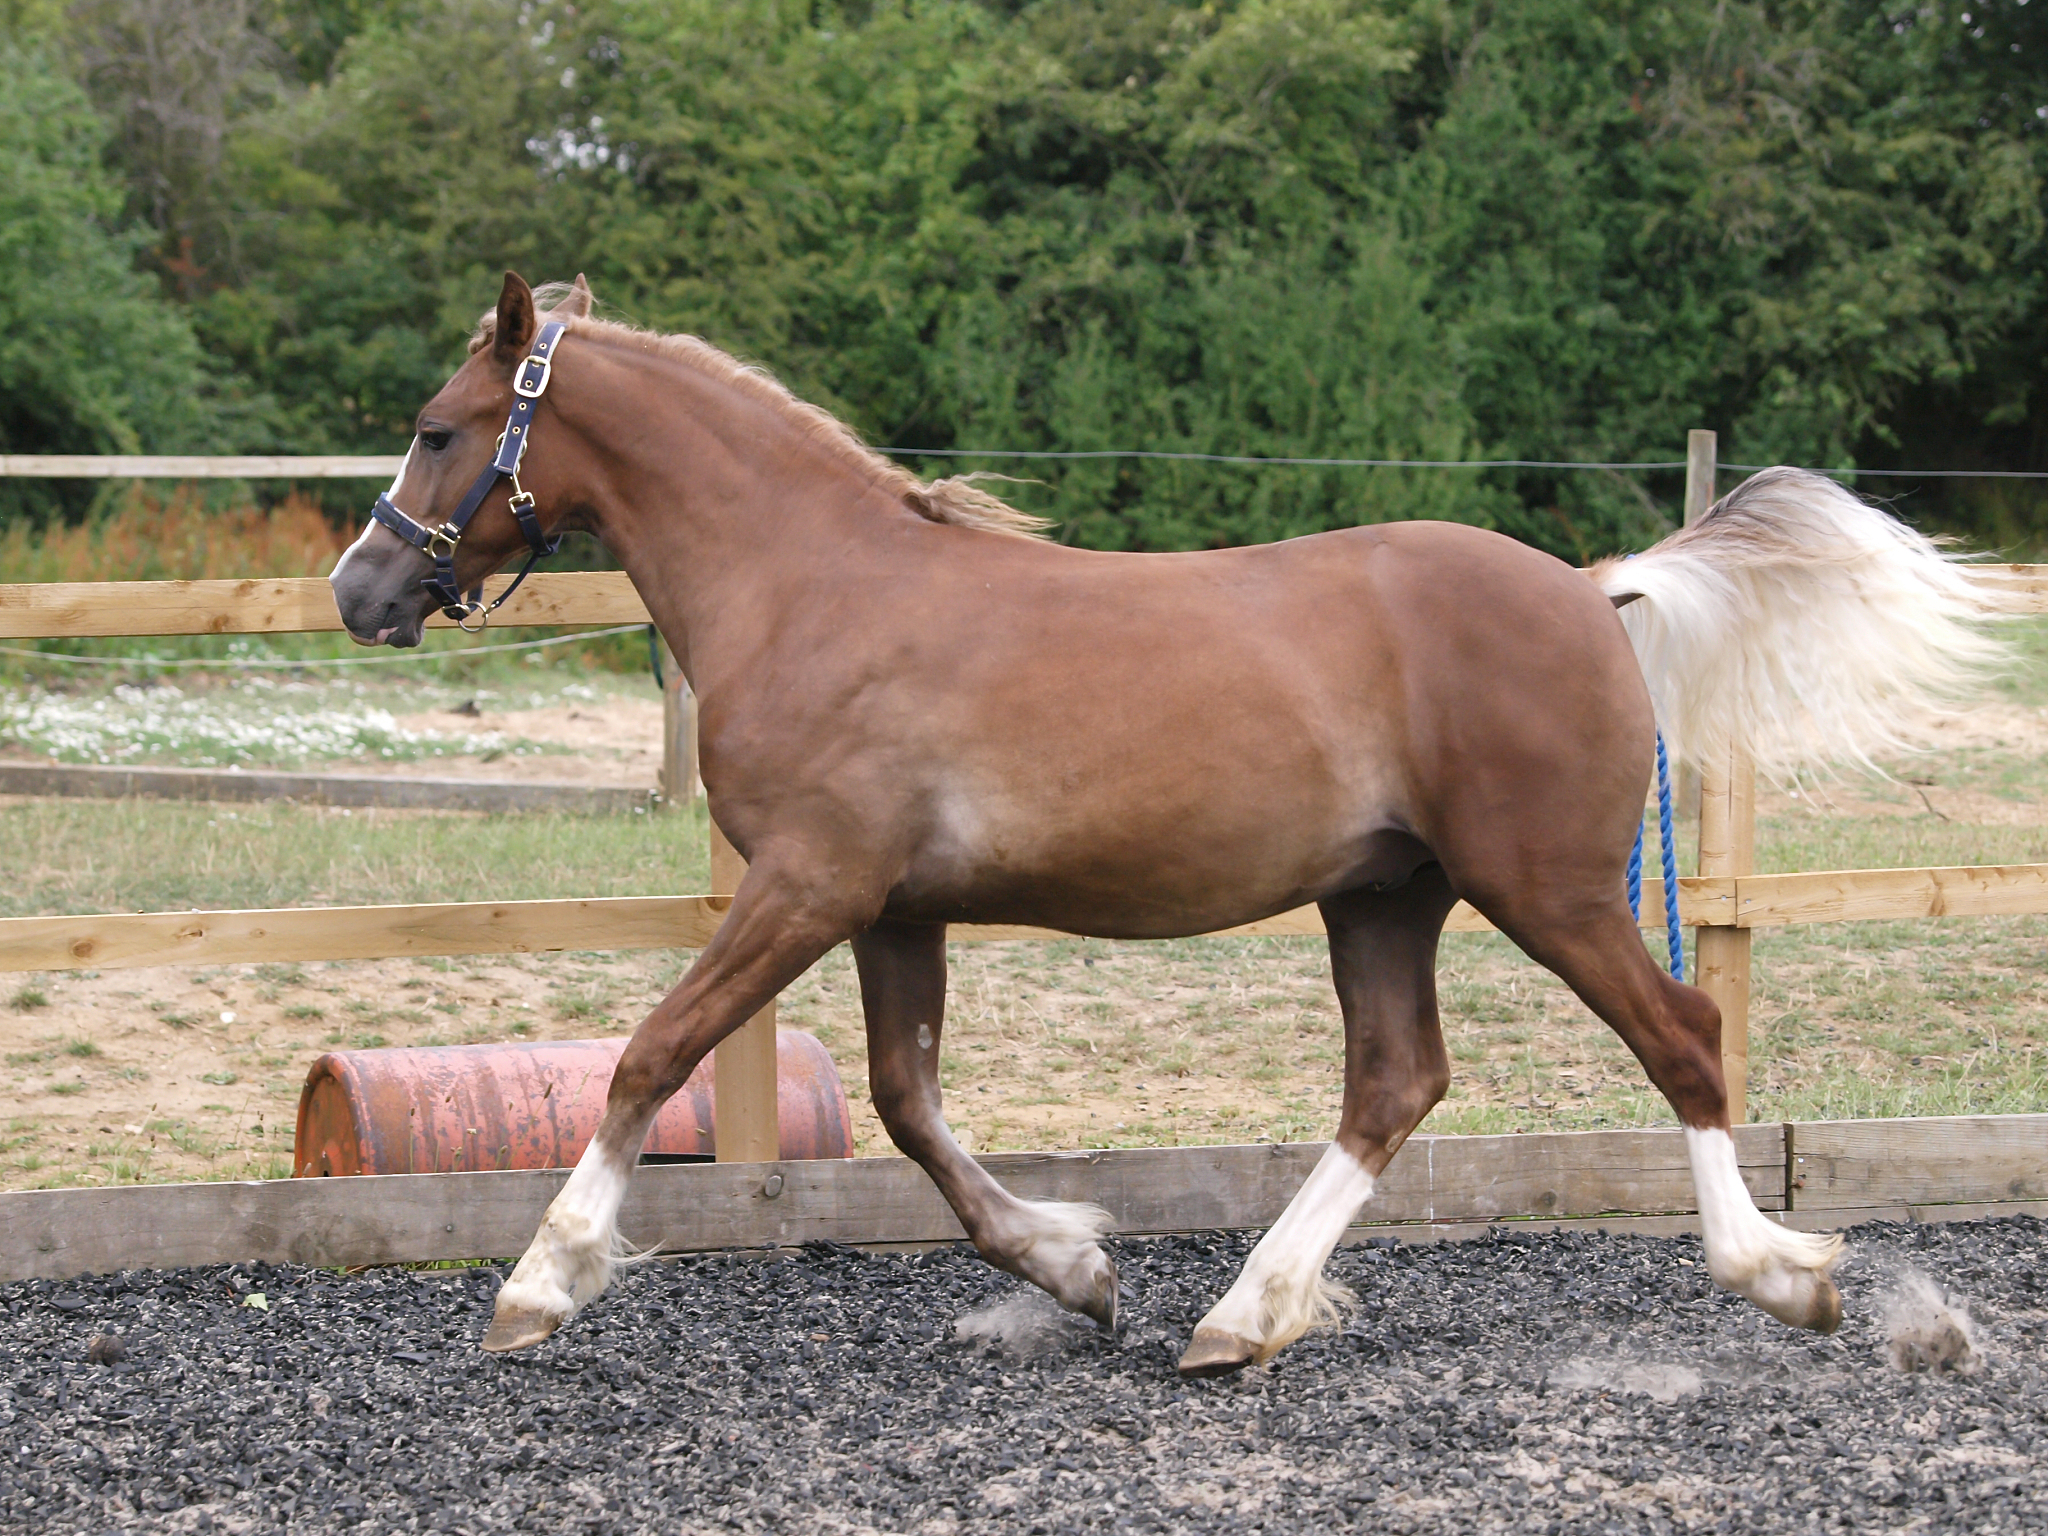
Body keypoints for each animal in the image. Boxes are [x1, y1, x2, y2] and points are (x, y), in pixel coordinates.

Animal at [331, 272, 2003, 1376]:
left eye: (436, 428)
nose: (361, 587)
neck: (812, 587)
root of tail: (1596, 588)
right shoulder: (893, 908)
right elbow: (907, 1103)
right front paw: (1077, 1270)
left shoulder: (809, 884)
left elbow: (652, 1055)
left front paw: (539, 1286)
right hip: (1386, 896)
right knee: (1397, 1082)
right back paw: (1239, 1317)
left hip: (1551, 889)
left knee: (1681, 1041)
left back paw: (1785, 1279)